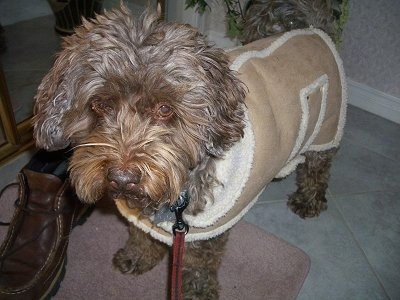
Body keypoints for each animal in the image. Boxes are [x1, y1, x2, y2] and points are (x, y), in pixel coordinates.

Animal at [32, 2, 346, 300]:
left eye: (164, 109)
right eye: (100, 104)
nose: (122, 178)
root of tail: (314, 29)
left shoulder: (204, 232)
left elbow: (198, 264)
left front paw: (197, 291)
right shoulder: (144, 218)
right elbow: (141, 235)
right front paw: (138, 256)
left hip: (326, 130)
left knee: (318, 169)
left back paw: (309, 200)